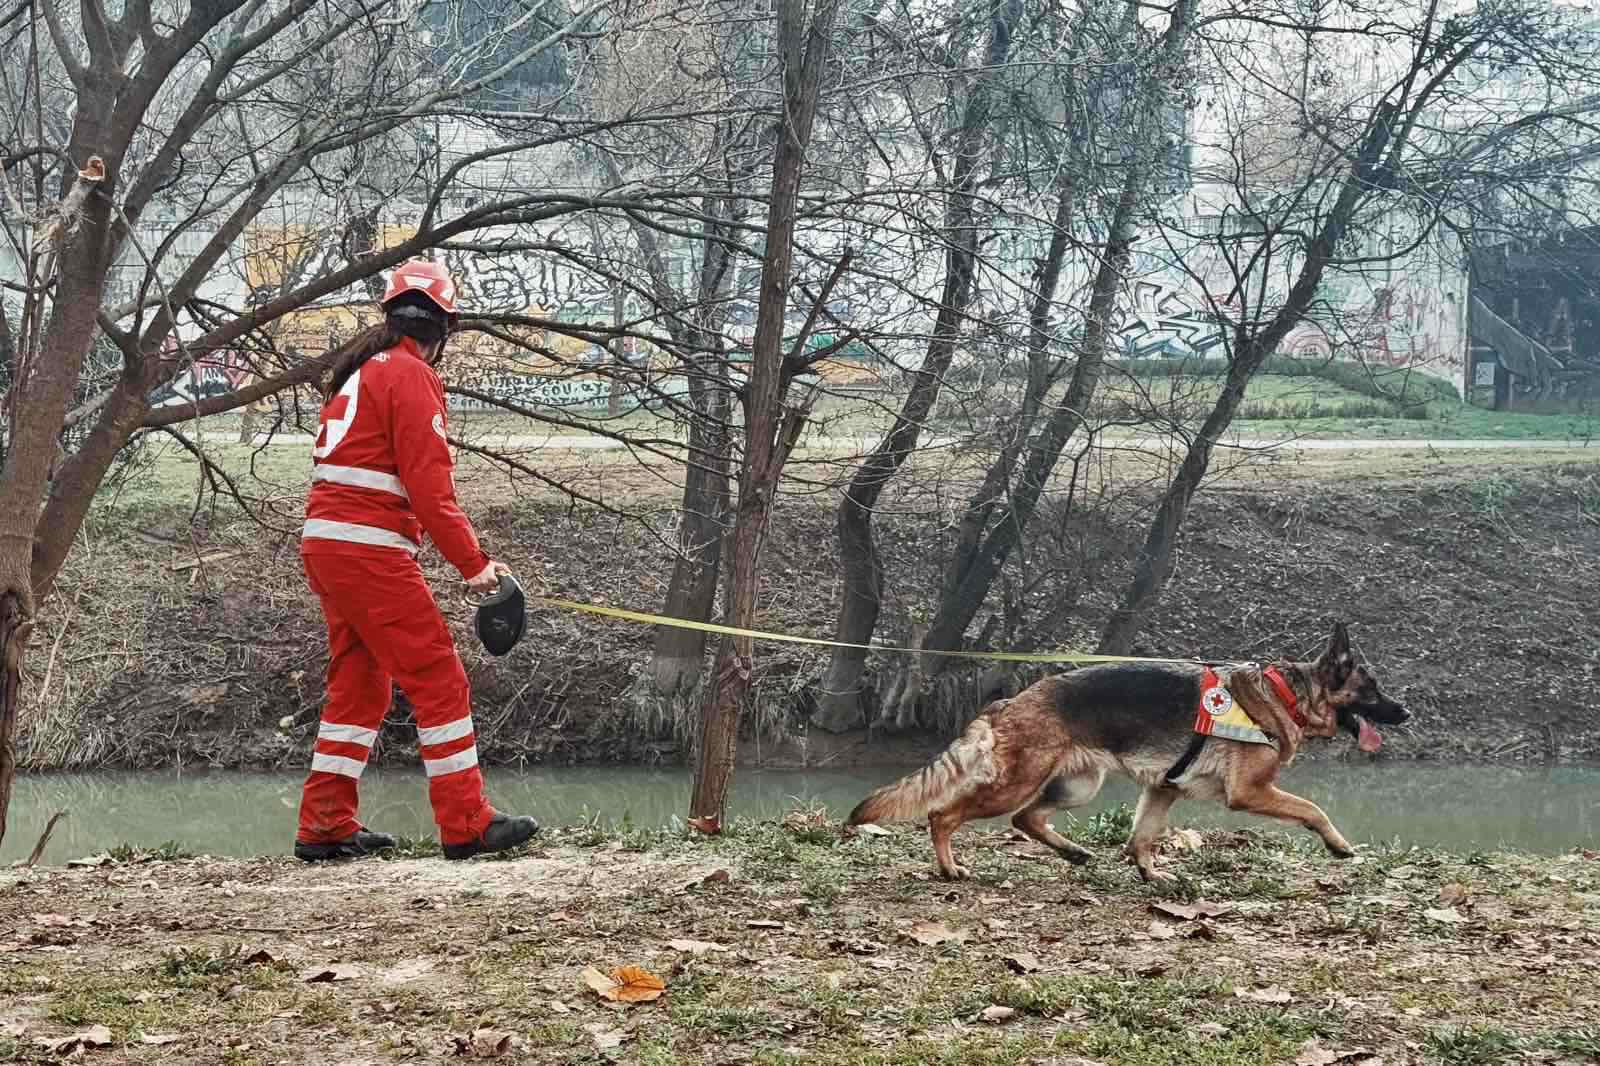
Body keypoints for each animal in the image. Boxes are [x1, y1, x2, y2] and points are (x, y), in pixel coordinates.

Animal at [844, 617, 1408, 877]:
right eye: (1373, 690)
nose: (1406, 713)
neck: (1286, 695)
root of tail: (1011, 700)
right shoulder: (1249, 793)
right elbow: (1313, 808)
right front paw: (1338, 844)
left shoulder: (1163, 790)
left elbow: (1144, 835)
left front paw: (1150, 873)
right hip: (1017, 784)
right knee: (945, 815)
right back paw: (949, 868)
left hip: (1077, 787)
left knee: (1027, 819)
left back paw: (1073, 852)